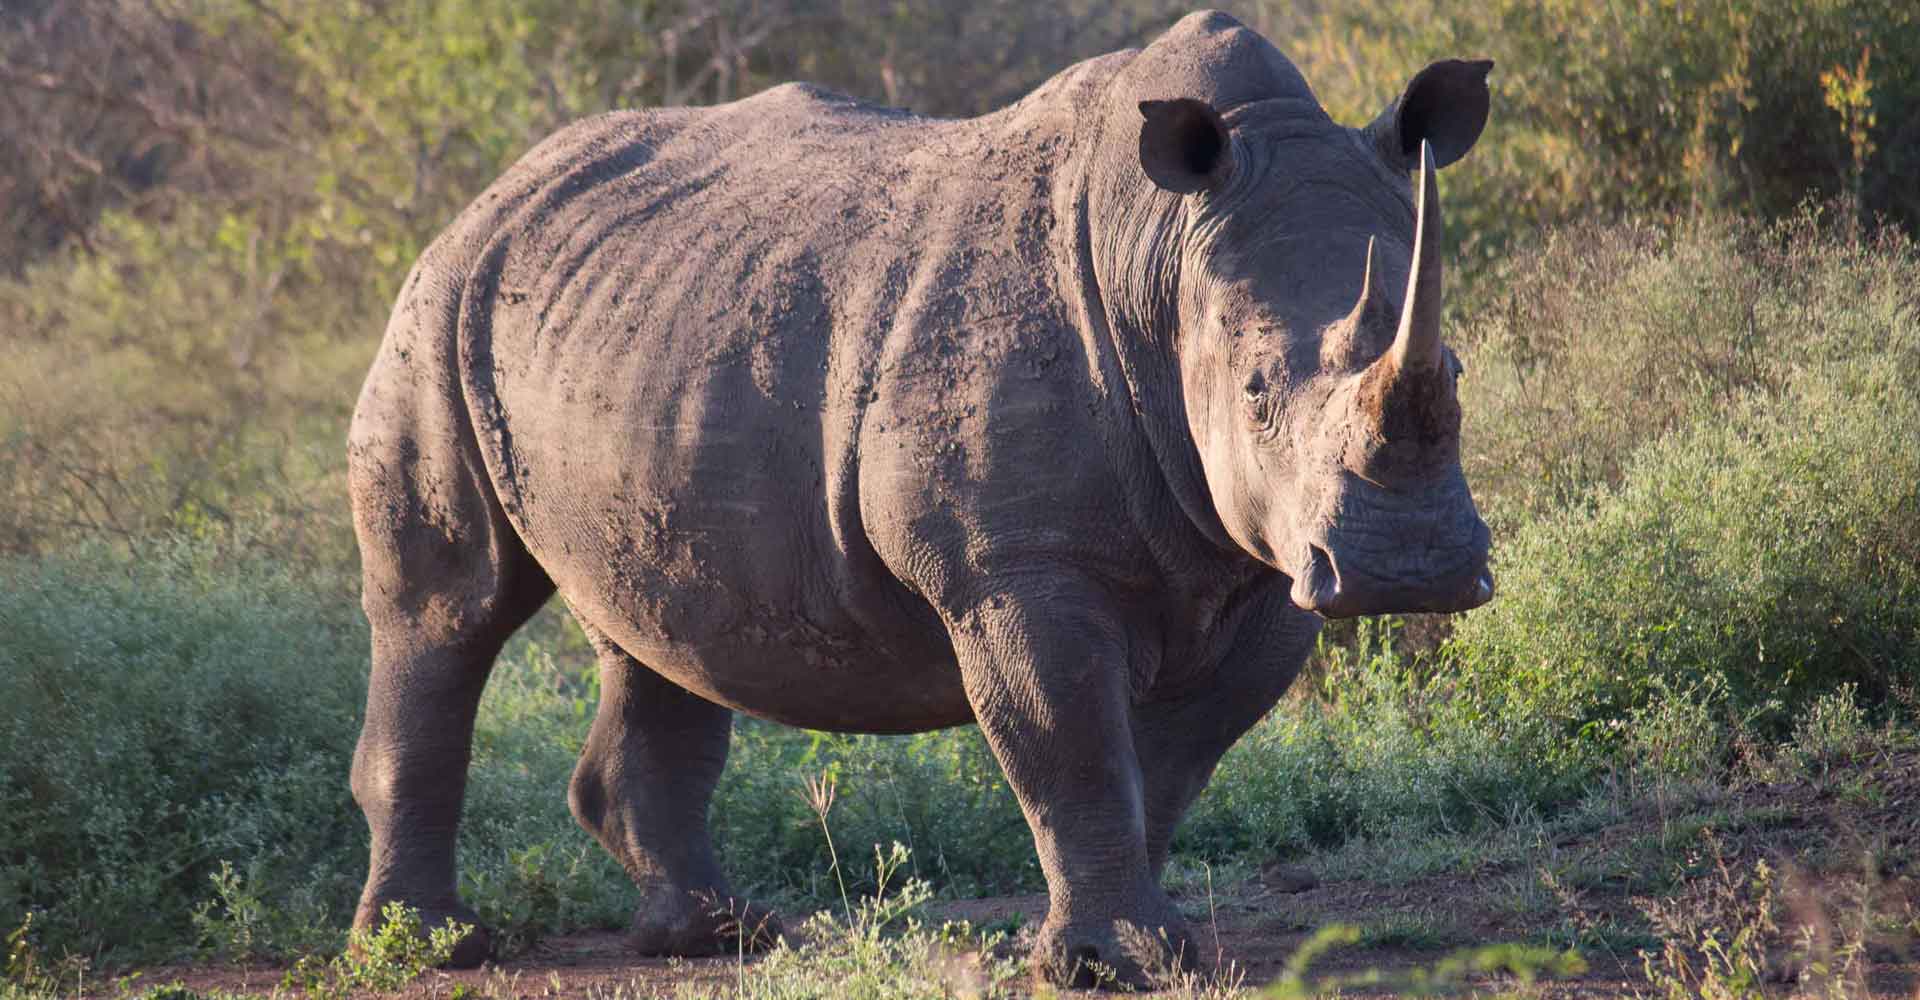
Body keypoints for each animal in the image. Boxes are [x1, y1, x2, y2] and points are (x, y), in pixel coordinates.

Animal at [345, 7, 1489, 982]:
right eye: (1253, 392)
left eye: (1459, 368)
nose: (1409, 567)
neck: (1162, 257)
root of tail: (494, 191)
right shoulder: (1013, 563)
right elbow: (1074, 746)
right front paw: (1104, 963)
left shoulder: (1270, 555)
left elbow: (1171, 761)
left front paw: (1140, 947)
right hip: (438, 308)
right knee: (448, 610)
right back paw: (434, 947)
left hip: (642, 325)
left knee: (654, 619)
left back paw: (720, 933)